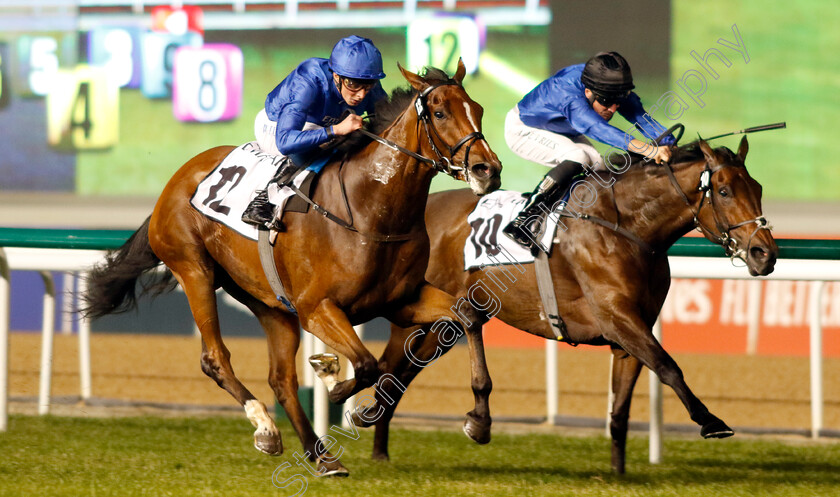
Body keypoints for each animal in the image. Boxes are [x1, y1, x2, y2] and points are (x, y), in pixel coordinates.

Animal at [80, 60, 498, 474]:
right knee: (215, 359)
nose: (488, 170)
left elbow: (467, 316)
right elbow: (366, 364)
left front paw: (478, 420)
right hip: (195, 270)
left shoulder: (400, 301)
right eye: (440, 113)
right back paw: (266, 427)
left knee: (281, 379)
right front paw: (336, 385)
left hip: (270, 302)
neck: (370, 209)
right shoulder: (317, 308)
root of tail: (178, 179)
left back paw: (320, 454)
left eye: (478, 109)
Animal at [356, 135, 780, 472]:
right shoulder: (618, 320)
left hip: (438, 326)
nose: (765, 254)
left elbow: (620, 409)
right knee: (392, 370)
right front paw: (710, 421)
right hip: (416, 319)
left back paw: (384, 446)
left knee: (399, 375)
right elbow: (668, 366)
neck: (628, 227)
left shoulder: (630, 333)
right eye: (723, 191)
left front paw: (617, 474)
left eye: (758, 188)